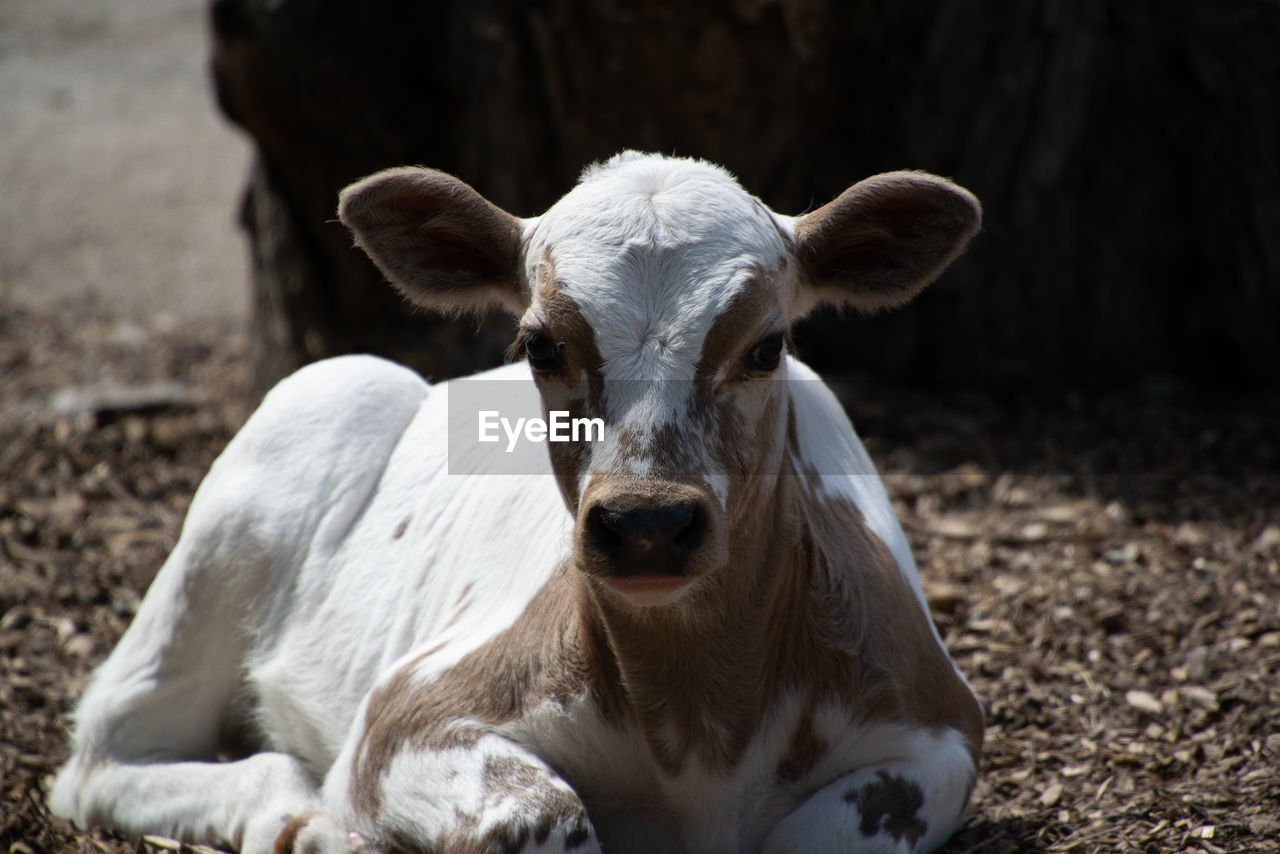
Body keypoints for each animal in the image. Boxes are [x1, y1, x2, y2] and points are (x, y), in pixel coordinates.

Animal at [49, 153, 983, 854]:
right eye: (539, 345)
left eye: (767, 345)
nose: (647, 526)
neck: (701, 720)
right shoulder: (406, 713)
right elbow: (542, 812)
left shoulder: (941, 731)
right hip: (276, 461)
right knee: (112, 754)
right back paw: (303, 824)